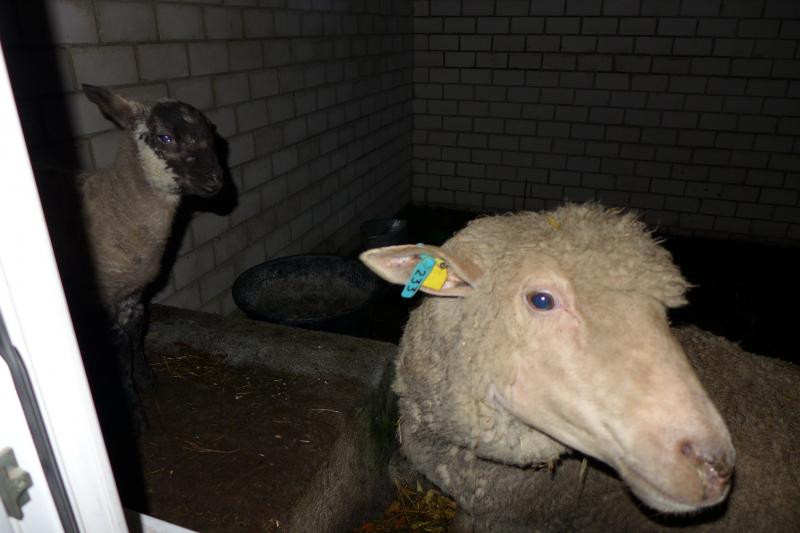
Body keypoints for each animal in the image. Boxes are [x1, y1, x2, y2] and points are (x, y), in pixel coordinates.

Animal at [44, 85, 222, 428]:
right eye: (165, 137)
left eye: (211, 134)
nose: (216, 181)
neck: (115, 203)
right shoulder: (106, 294)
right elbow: (117, 347)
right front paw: (134, 414)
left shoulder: (133, 291)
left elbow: (135, 333)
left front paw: (146, 379)